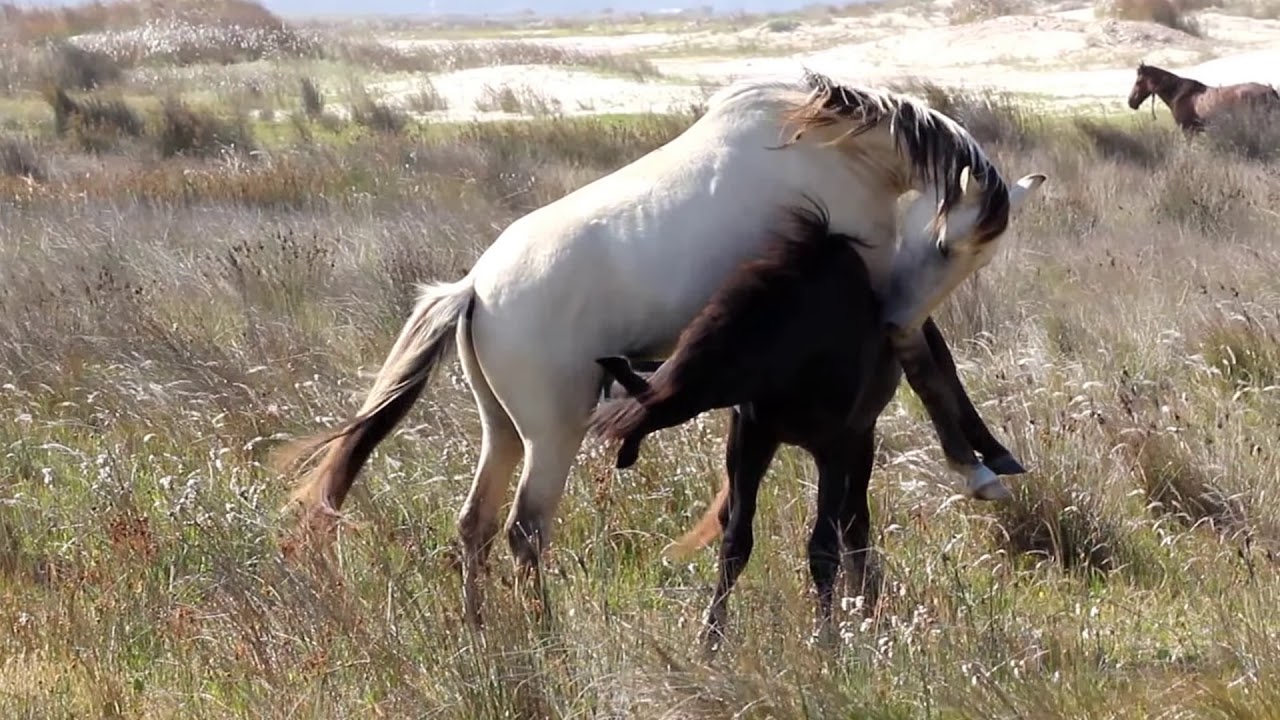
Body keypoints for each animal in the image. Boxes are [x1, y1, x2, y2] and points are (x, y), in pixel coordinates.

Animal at [588, 199, 1018, 645]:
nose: (617, 461)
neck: (790, 348)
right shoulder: (752, 438)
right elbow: (735, 542)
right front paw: (710, 640)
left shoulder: (835, 447)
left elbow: (823, 548)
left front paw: (828, 639)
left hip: (863, 436)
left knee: (855, 520)